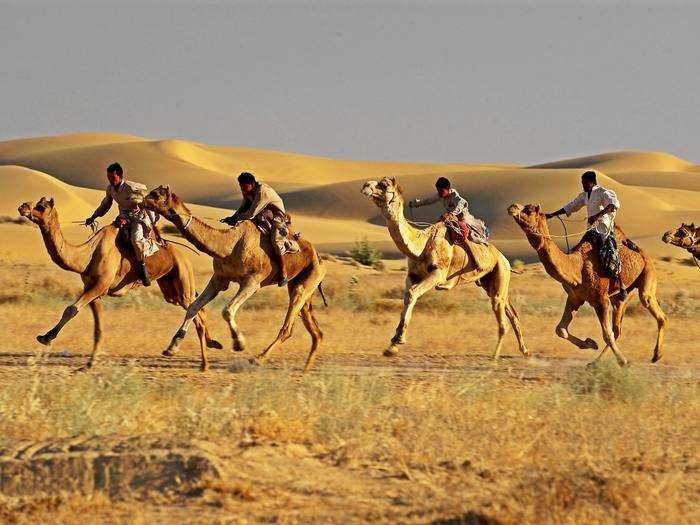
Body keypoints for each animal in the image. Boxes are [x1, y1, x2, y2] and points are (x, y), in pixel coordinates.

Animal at [17, 194, 221, 370]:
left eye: (41, 206)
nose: (23, 206)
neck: (87, 255)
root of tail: (185, 258)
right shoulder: (94, 290)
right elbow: (98, 328)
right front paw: (90, 364)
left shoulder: (100, 285)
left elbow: (71, 309)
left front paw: (46, 337)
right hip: (170, 288)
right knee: (197, 308)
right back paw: (210, 347)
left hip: (183, 276)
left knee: (195, 312)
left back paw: (196, 360)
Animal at [144, 186, 328, 370]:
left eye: (156, 195)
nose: (141, 200)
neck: (230, 245)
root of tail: (319, 257)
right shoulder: (219, 279)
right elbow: (193, 307)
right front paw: (172, 347)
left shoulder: (252, 282)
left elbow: (227, 310)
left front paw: (239, 343)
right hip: (300, 284)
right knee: (315, 329)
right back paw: (306, 368)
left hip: (308, 279)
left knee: (288, 327)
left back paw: (258, 359)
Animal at [358, 176, 528, 360]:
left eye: (384, 185)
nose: (365, 185)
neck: (422, 244)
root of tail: (504, 259)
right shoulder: (412, 275)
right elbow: (408, 297)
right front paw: (392, 346)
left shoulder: (438, 274)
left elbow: (412, 293)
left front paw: (398, 341)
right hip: (489, 281)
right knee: (511, 311)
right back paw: (524, 350)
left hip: (500, 272)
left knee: (502, 315)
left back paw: (495, 356)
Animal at [508, 201, 668, 364]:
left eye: (529, 210)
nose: (512, 207)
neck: (576, 268)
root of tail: (642, 253)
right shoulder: (575, 297)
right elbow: (561, 329)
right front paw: (590, 343)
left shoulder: (601, 299)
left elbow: (606, 334)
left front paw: (623, 361)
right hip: (621, 296)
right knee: (617, 328)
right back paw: (596, 362)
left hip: (647, 274)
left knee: (656, 312)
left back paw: (656, 355)